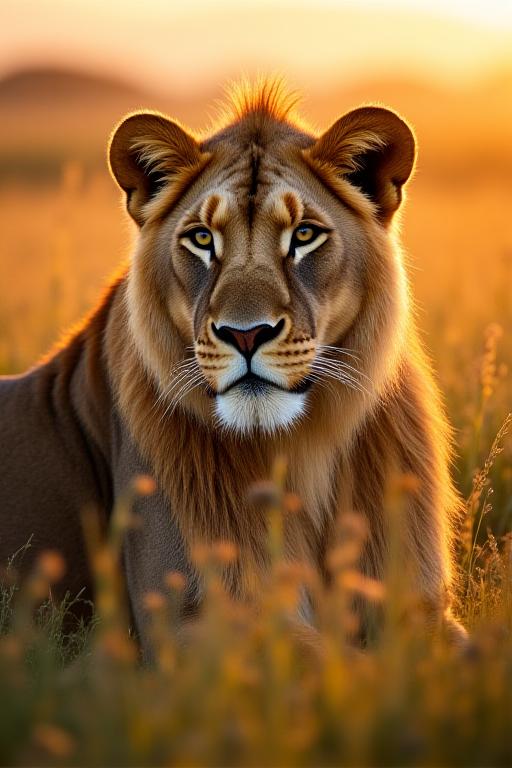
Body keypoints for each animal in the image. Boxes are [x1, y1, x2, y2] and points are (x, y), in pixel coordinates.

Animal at [0, 81, 465, 647]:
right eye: (202, 239)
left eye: (304, 235)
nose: (246, 334)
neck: (301, 452)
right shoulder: (194, 623)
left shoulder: (420, 605)